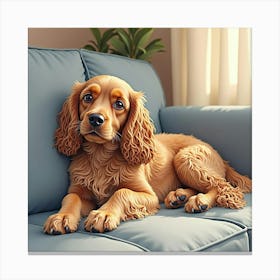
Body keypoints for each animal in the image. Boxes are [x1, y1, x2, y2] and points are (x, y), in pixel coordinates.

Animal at [43, 74, 252, 234]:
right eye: (87, 97)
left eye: (119, 104)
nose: (95, 119)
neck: (100, 155)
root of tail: (218, 155)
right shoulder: (80, 190)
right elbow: (71, 198)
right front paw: (61, 217)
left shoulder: (148, 195)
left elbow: (121, 192)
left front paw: (103, 214)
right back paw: (179, 196)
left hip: (185, 158)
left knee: (224, 186)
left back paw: (200, 201)